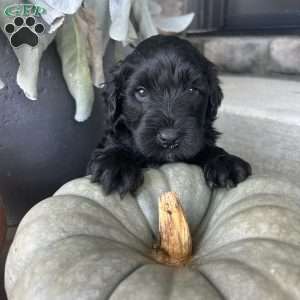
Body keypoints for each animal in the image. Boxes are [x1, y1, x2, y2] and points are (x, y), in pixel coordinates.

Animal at [88, 35, 252, 196]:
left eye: (192, 90)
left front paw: (224, 161)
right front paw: (117, 166)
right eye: (141, 92)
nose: (169, 138)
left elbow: (206, 148)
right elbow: (118, 145)